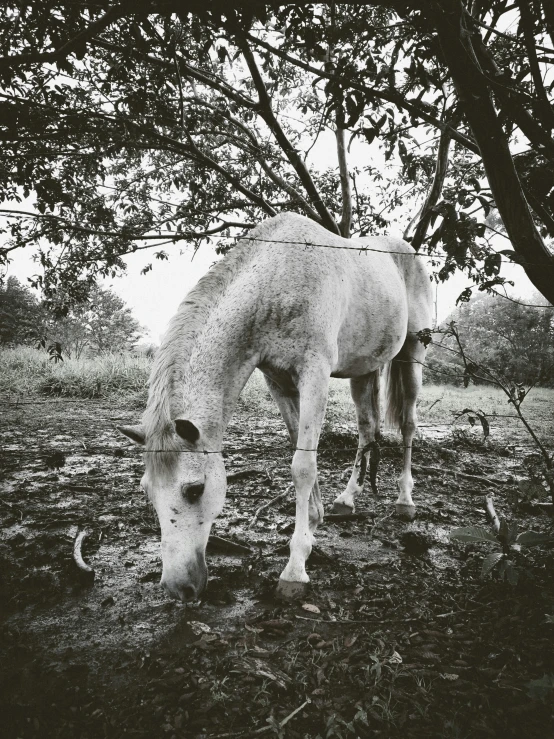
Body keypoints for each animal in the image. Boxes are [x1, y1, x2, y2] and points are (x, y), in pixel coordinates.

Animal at [119, 212, 432, 600]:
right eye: (147, 491)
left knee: (407, 425)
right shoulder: (278, 381)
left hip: (413, 355)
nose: (179, 588)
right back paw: (347, 499)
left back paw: (405, 500)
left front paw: (296, 567)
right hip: (364, 370)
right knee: (367, 428)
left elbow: (303, 465)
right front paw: (313, 520)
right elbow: (299, 444)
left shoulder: (314, 374)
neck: (280, 278)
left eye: (194, 490)